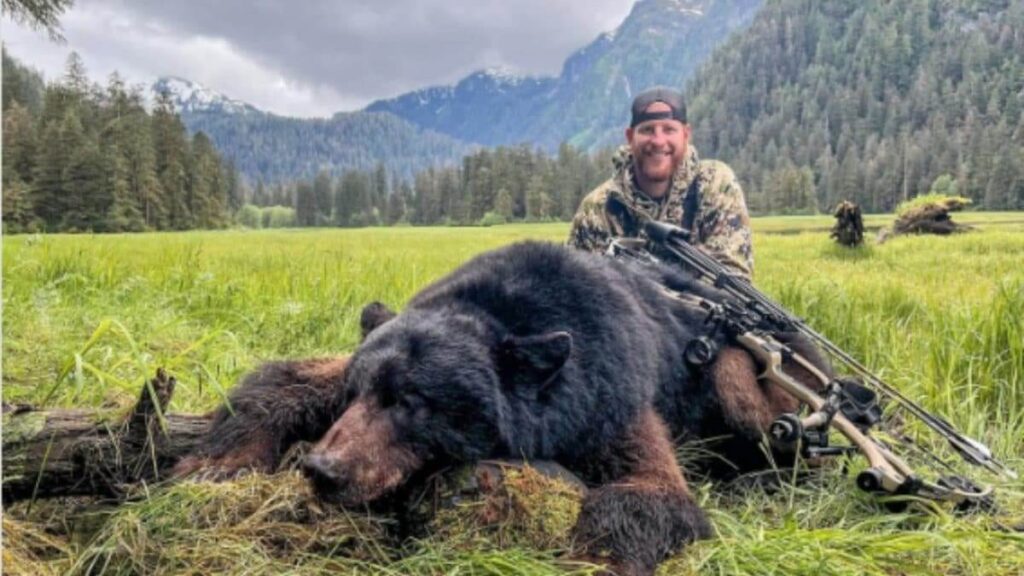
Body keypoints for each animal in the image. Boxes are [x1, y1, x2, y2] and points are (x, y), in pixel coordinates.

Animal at [175, 241, 829, 575]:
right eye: (360, 393)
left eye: (413, 402)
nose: (322, 470)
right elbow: (283, 378)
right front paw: (213, 464)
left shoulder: (610, 391)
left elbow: (651, 496)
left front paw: (592, 559)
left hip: (742, 370)